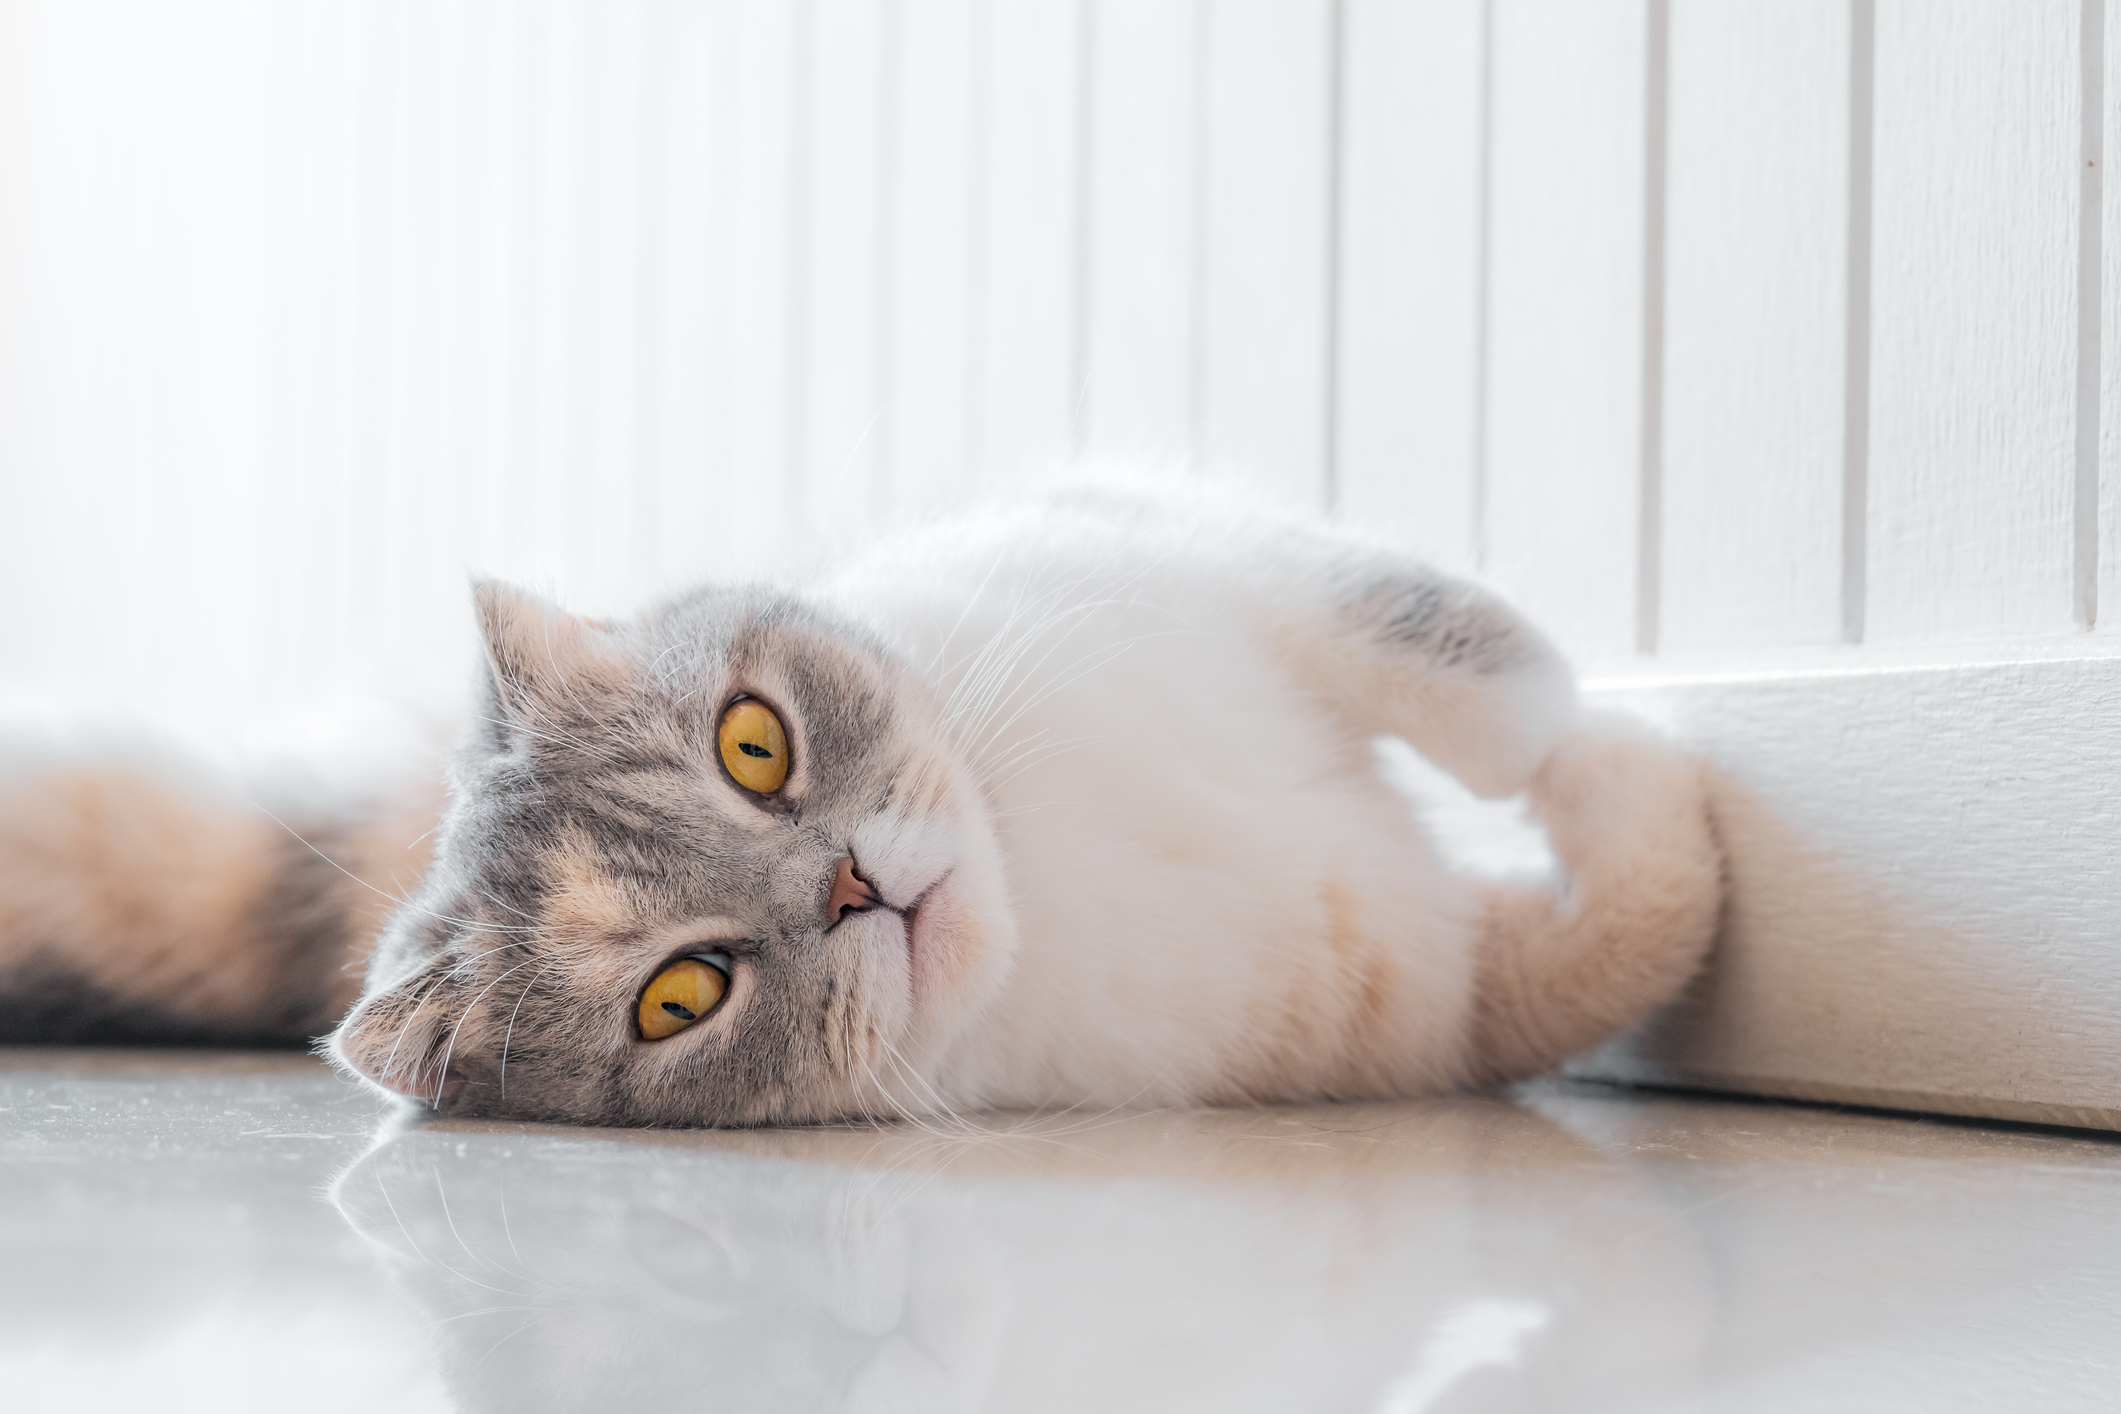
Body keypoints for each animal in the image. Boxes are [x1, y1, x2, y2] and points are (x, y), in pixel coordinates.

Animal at [0, 487, 1722, 1127]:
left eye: (754, 744)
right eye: (680, 993)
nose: (853, 889)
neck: (1062, 866)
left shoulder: (1198, 547)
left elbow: (1467, 672)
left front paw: (1616, 715)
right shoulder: (1453, 1005)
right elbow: (1647, 912)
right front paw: (1644, 760)